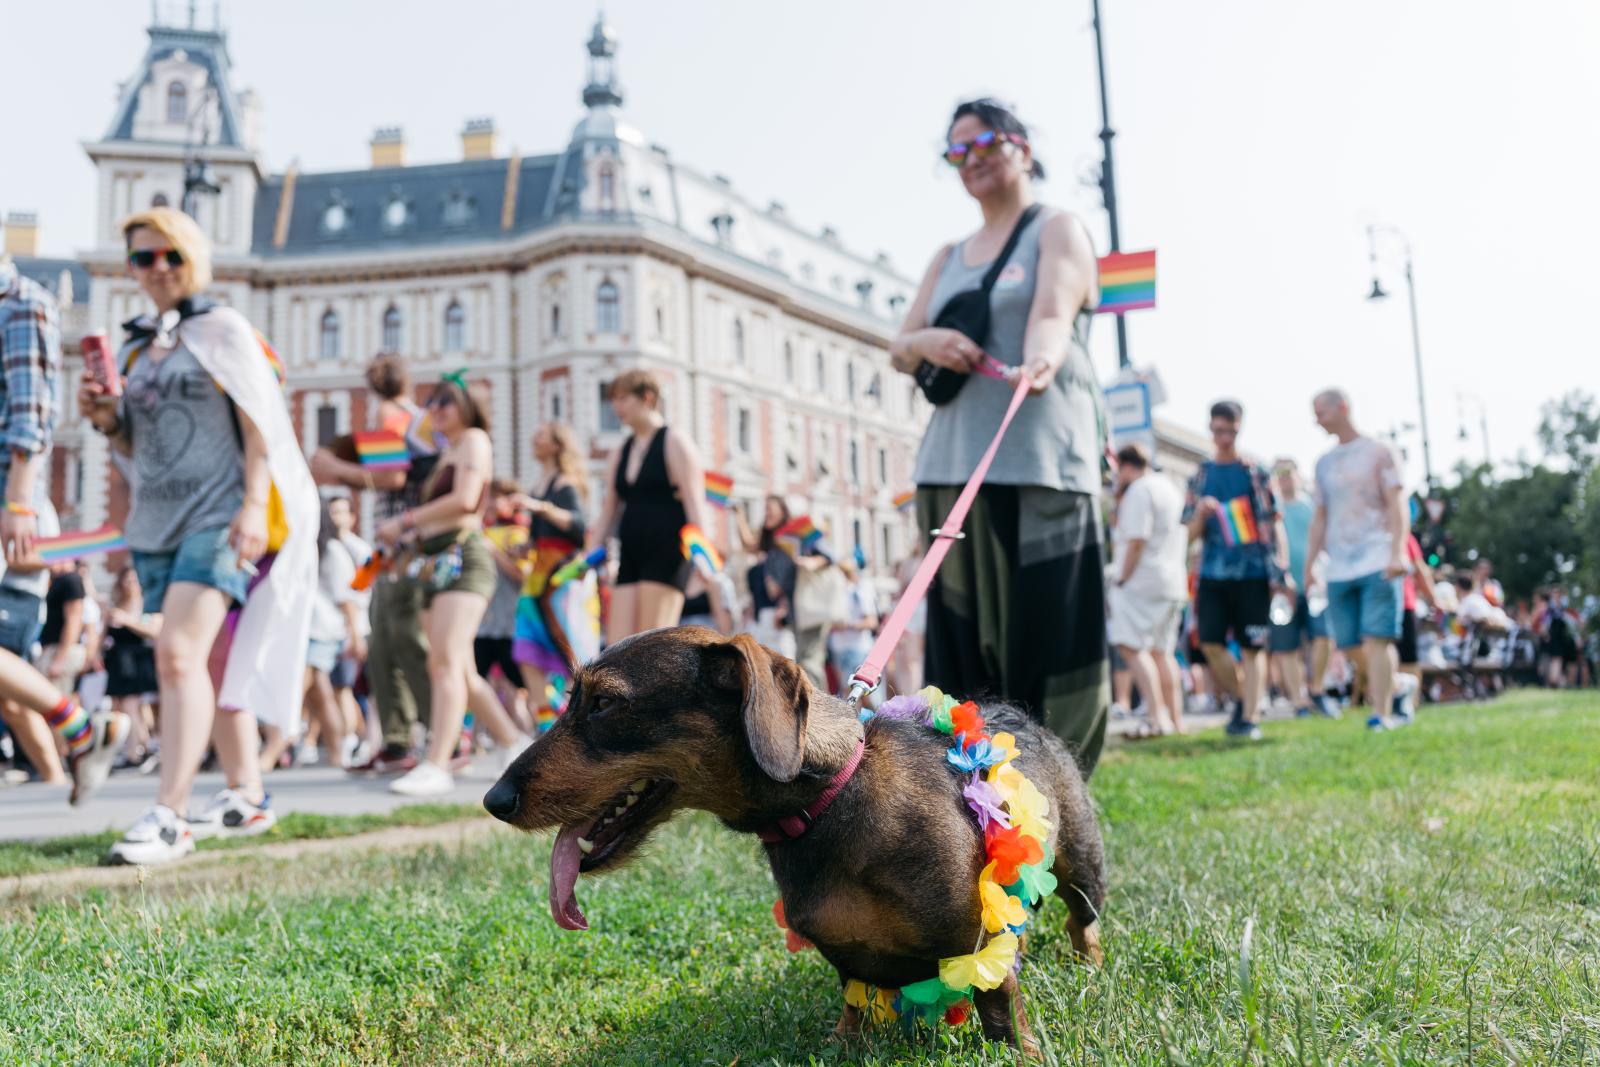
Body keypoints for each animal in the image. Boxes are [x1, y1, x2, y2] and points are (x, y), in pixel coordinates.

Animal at [480, 630, 1107, 1055]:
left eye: (605, 702)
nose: (493, 800)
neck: (827, 804)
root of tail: (1022, 715)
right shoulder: (845, 961)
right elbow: (853, 1003)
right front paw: (841, 1042)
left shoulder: (982, 950)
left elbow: (1000, 1012)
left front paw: (1022, 1053)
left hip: (1082, 868)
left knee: (1083, 921)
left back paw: (1090, 966)